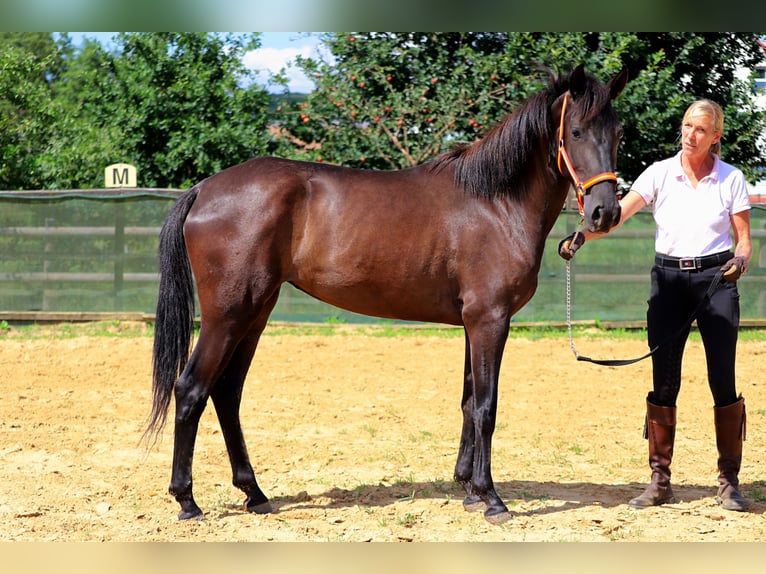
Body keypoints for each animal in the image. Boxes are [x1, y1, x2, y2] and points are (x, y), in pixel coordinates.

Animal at [146, 64, 632, 528]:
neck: (495, 202)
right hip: (227, 316)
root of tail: (204, 190)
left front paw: (468, 489)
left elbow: (468, 402)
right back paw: (187, 500)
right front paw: (491, 498)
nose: (605, 213)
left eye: (617, 133)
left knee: (227, 393)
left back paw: (254, 493)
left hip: (255, 314)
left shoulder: (472, 324)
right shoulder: (490, 320)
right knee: (190, 390)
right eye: (576, 132)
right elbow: (487, 407)